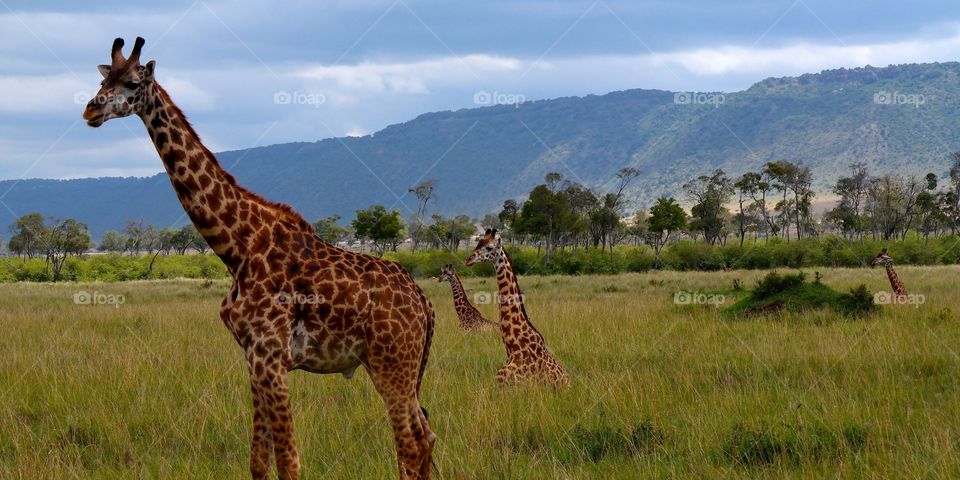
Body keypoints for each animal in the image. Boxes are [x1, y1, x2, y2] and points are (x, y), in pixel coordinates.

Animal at [82, 37, 436, 480]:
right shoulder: (252, 358)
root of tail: (425, 303)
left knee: (409, 443)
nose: (90, 110)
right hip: (394, 366)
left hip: (393, 364)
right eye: (102, 79)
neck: (238, 247)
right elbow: (258, 462)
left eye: (131, 83)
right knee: (425, 436)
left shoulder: (272, 356)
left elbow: (289, 462)